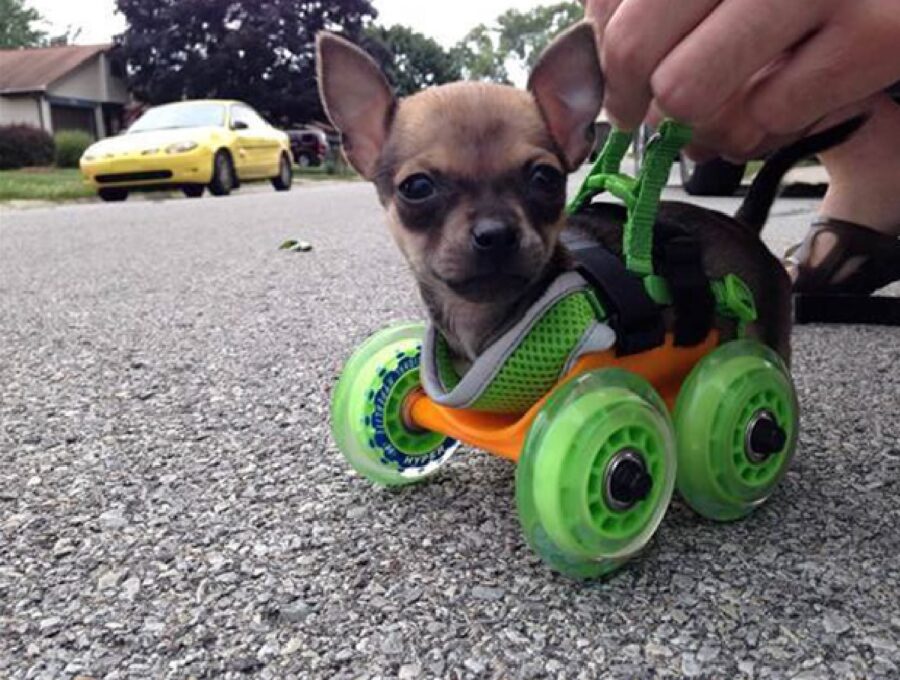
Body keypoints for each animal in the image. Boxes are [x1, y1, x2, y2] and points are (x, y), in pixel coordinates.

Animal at [320, 23, 856, 366]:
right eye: (417, 188)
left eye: (545, 178)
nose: (495, 233)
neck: (485, 322)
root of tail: (741, 223)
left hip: (766, 331)